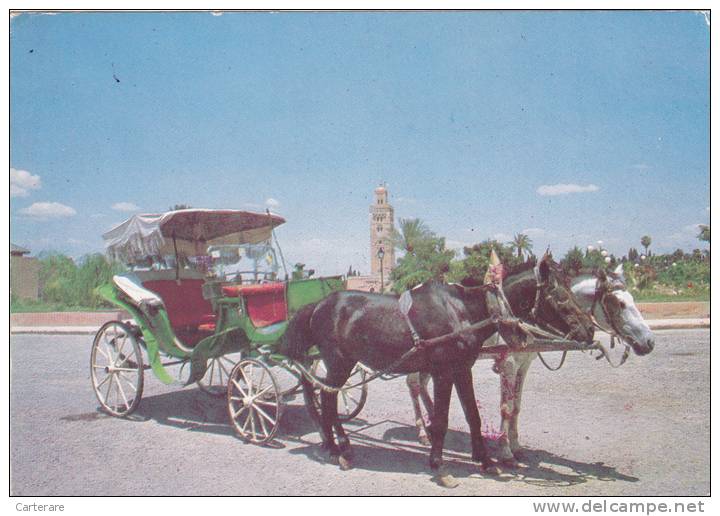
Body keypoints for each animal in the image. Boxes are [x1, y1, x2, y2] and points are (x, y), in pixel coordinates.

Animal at [284, 254, 592, 484]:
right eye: (559, 295)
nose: (589, 330)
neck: (463, 312)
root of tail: (317, 305)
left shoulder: (463, 368)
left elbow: (473, 415)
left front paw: (486, 461)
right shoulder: (443, 371)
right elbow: (442, 420)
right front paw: (439, 465)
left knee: (325, 397)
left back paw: (335, 445)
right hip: (339, 363)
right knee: (328, 399)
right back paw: (338, 450)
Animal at [408, 262, 656, 464]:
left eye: (632, 299)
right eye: (619, 303)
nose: (649, 342)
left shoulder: (524, 365)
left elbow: (517, 406)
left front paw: (517, 447)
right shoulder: (508, 364)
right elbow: (506, 408)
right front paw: (505, 452)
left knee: (422, 383)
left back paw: (431, 422)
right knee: (413, 385)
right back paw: (423, 433)